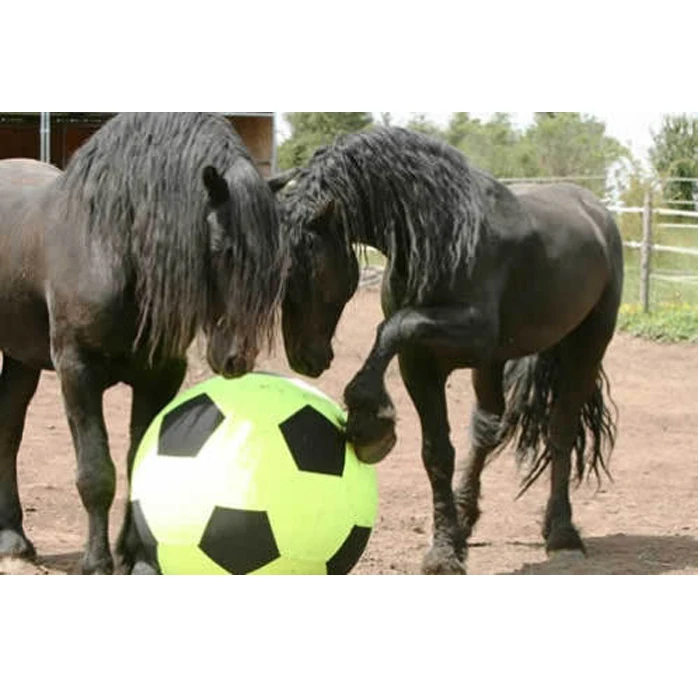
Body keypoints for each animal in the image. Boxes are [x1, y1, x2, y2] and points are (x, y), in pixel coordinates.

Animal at [0, 113, 294, 575]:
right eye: (223, 249)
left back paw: (12, 536)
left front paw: (137, 558)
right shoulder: (77, 369)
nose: (236, 358)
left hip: (21, 357)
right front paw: (97, 562)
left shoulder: (160, 375)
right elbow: (96, 473)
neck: (110, 246)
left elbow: (140, 460)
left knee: (8, 426)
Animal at [278, 127, 623, 575]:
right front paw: (445, 549)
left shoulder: (474, 333)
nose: (306, 359)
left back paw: (562, 535)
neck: (445, 235)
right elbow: (436, 453)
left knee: (560, 431)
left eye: (310, 272)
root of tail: (596, 210)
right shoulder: (421, 364)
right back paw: (465, 520)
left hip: (586, 345)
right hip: (494, 364)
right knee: (488, 427)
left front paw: (368, 417)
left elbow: (393, 326)